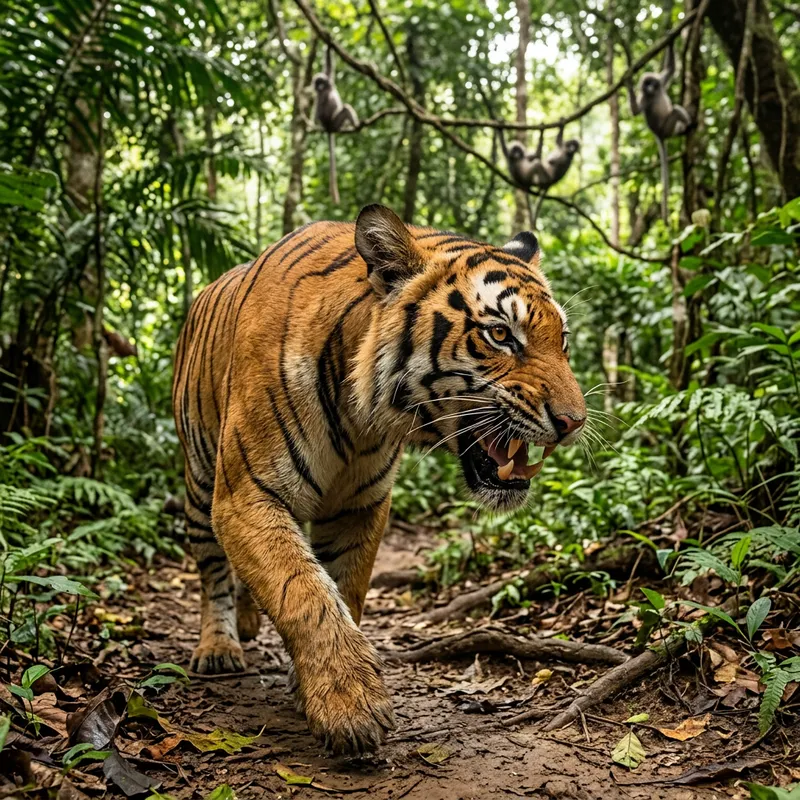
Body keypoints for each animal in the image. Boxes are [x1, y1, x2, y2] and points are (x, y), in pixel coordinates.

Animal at [172, 204, 586, 754]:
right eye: (500, 335)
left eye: (562, 341)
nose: (574, 422)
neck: (360, 414)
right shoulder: (246, 495)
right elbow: (304, 591)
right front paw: (350, 705)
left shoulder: (360, 505)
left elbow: (344, 587)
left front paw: (312, 687)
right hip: (199, 484)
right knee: (212, 572)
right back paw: (219, 646)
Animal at [312, 47, 359, 204]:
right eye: (317, 83)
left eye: (321, 81)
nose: (320, 86)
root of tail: (329, 128)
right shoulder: (320, 97)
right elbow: (318, 110)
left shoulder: (328, 78)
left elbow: (328, 65)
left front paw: (329, 45)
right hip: (335, 121)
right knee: (346, 108)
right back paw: (355, 126)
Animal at [627, 40, 692, 223]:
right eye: (646, 84)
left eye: (651, 83)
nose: (649, 87)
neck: (654, 93)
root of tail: (658, 134)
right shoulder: (645, 97)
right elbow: (635, 111)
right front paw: (628, 82)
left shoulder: (661, 81)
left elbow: (670, 69)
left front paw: (669, 38)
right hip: (667, 127)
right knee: (676, 110)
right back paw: (689, 127)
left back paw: (684, 129)